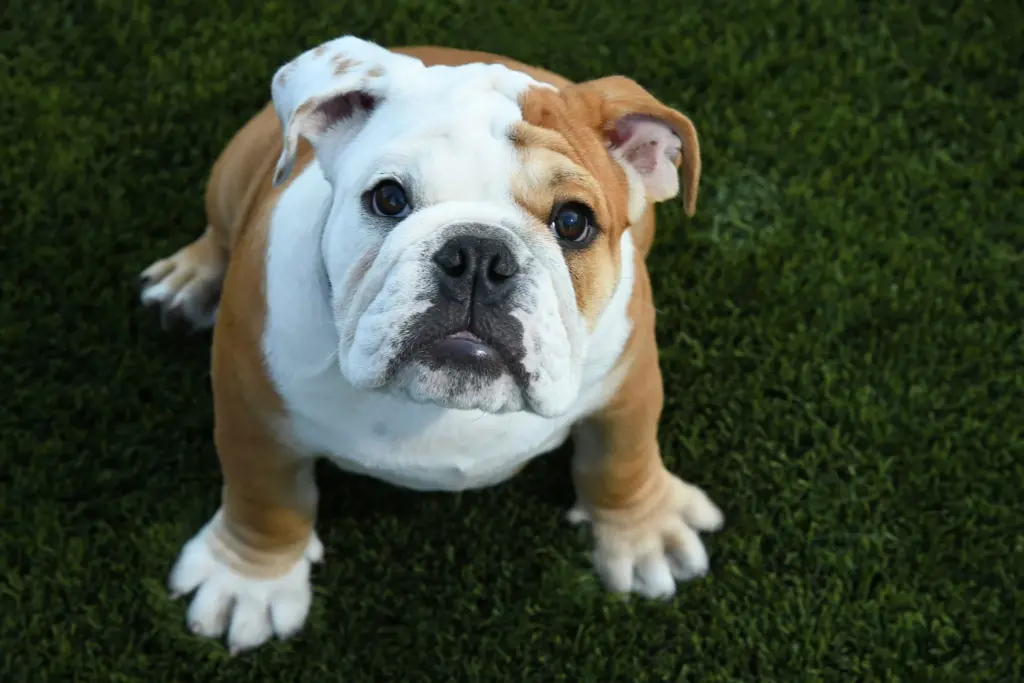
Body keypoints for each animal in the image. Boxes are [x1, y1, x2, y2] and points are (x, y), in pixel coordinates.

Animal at [140, 36, 724, 651]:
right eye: (389, 199)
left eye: (573, 222)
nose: (478, 255)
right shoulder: (250, 407)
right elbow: (264, 497)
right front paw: (248, 580)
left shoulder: (629, 379)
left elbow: (622, 459)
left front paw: (644, 532)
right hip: (238, 168)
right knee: (217, 229)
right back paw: (188, 280)